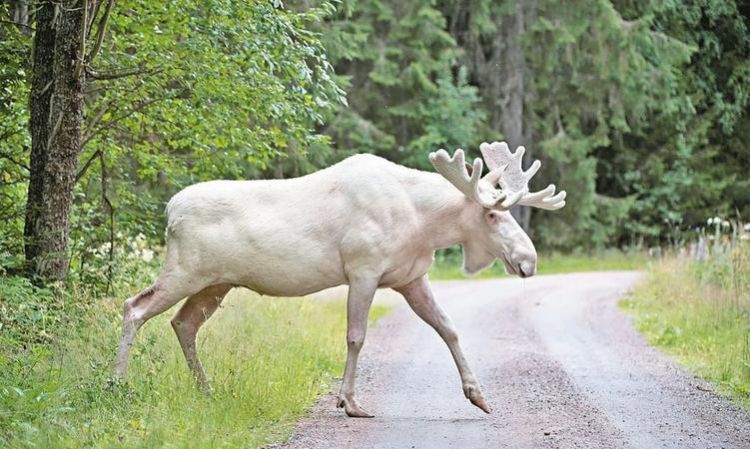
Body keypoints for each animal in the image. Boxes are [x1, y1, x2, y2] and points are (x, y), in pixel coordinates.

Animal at [114, 141, 568, 416]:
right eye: (492, 213)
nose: (528, 260)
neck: (424, 224)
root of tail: (169, 211)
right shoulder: (363, 269)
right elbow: (356, 336)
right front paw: (349, 402)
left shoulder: (410, 278)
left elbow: (449, 328)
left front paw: (478, 395)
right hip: (186, 270)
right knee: (135, 306)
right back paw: (116, 383)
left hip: (216, 283)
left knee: (183, 322)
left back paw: (205, 390)